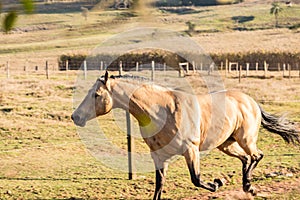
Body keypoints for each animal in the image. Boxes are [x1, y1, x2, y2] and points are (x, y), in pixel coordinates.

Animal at [71, 71, 298, 199]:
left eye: (96, 95)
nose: (76, 117)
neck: (162, 111)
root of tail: (251, 101)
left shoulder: (190, 150)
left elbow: (196, 179)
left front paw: (216, 184)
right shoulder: (158, 156)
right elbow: (159, 185)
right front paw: (218, 182)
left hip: (245, 139)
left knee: (256, 156)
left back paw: (249, 187)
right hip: (226, 144)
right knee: (245, 159)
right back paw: (246, 186)